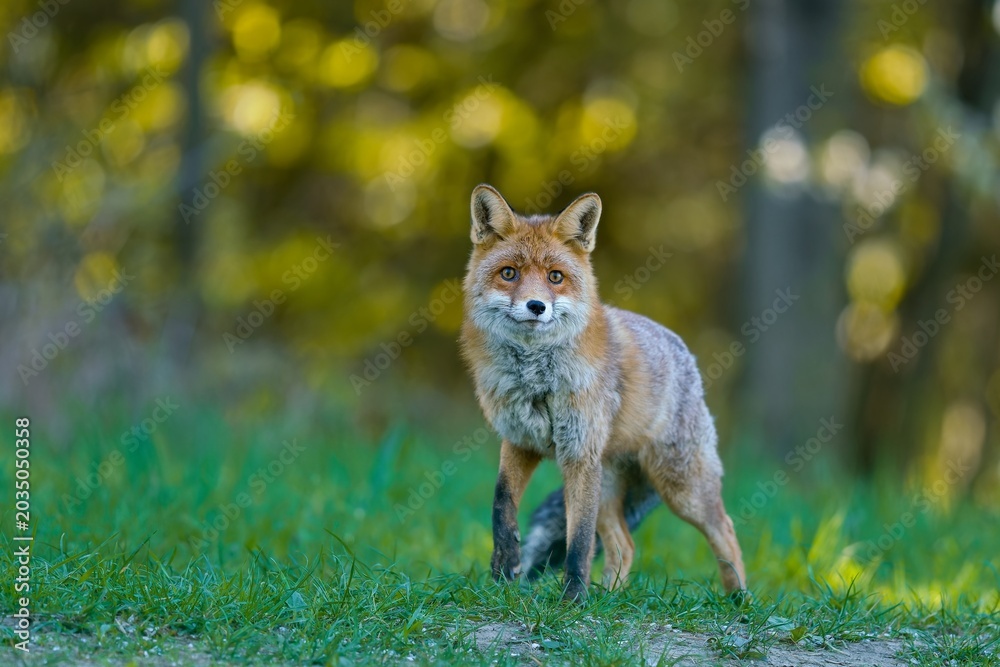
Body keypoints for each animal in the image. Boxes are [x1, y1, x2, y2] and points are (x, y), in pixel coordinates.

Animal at [460, 184, 746, 601]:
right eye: (509, 273)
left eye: (556, 277)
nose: (536, 306)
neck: (535, 379)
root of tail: (686, 355)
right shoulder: (520, 440)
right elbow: (501, 504)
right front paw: (503, 574)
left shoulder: (579, 453)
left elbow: (578, 540)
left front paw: (573, 600)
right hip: (609, 485)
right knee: (625, 545)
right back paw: (609, 595)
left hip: (679, 487)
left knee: (724, 528)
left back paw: (741, 600)